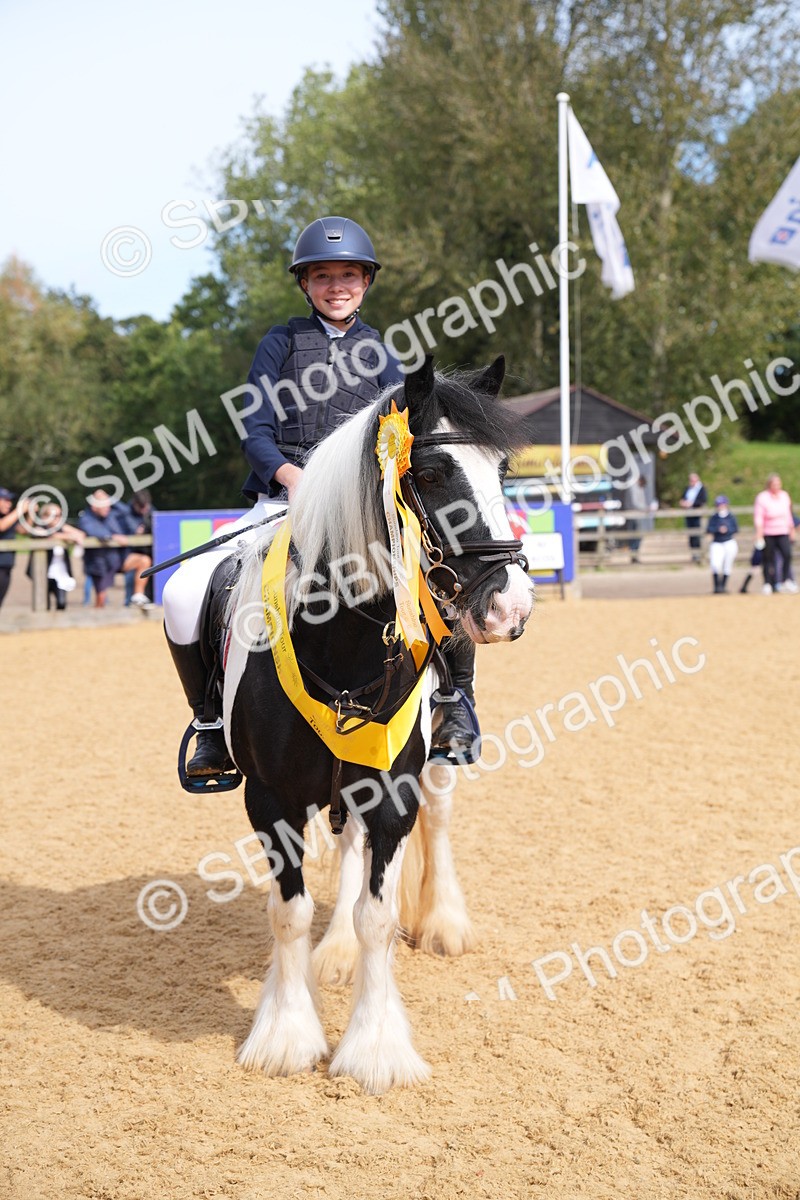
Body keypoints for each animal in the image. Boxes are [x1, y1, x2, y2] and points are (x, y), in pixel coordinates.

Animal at [220, 355, 534, 1094]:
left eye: (503, 470)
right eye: (433, 474)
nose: (510, 606)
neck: (341, 644)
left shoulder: (393, 789)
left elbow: (379, 916)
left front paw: (375, 1047)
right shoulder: (270, 797)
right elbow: (290, 911)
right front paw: (285, 1033)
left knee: (436, 822)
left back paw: (445, 922)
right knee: (346, 850)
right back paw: (331, 954)